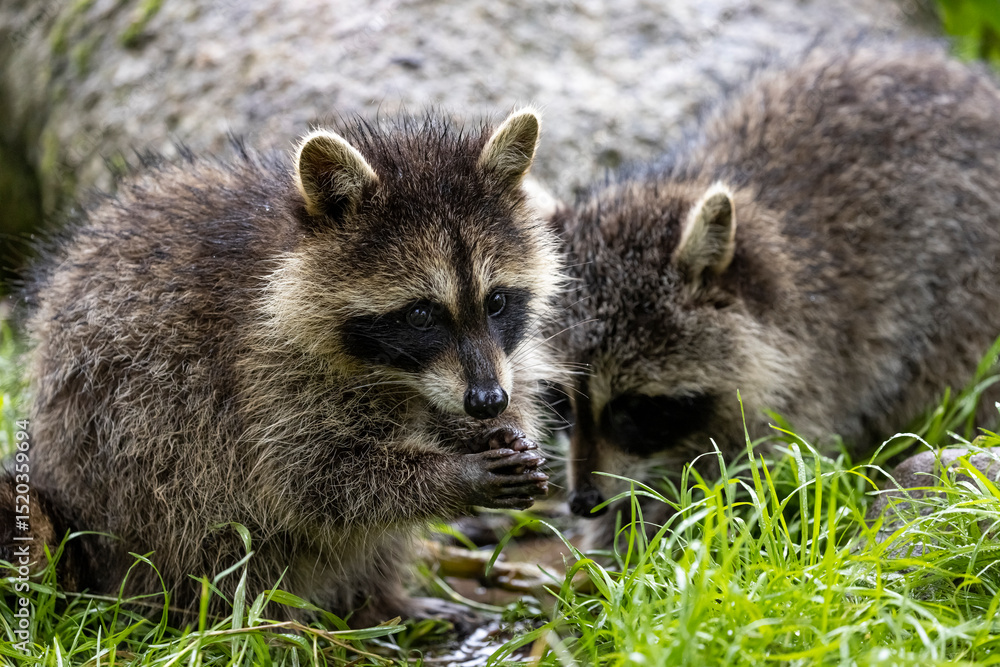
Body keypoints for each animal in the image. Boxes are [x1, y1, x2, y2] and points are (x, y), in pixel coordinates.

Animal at [10, 108, 561, 625]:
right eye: (422, 314)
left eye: (496, 302)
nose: (487, 402)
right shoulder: (258, 371)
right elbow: (314, 480)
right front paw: (457, 474)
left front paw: (497, 429)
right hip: (128, 454)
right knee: (210, 528)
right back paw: (267, 626)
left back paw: (379, 600)